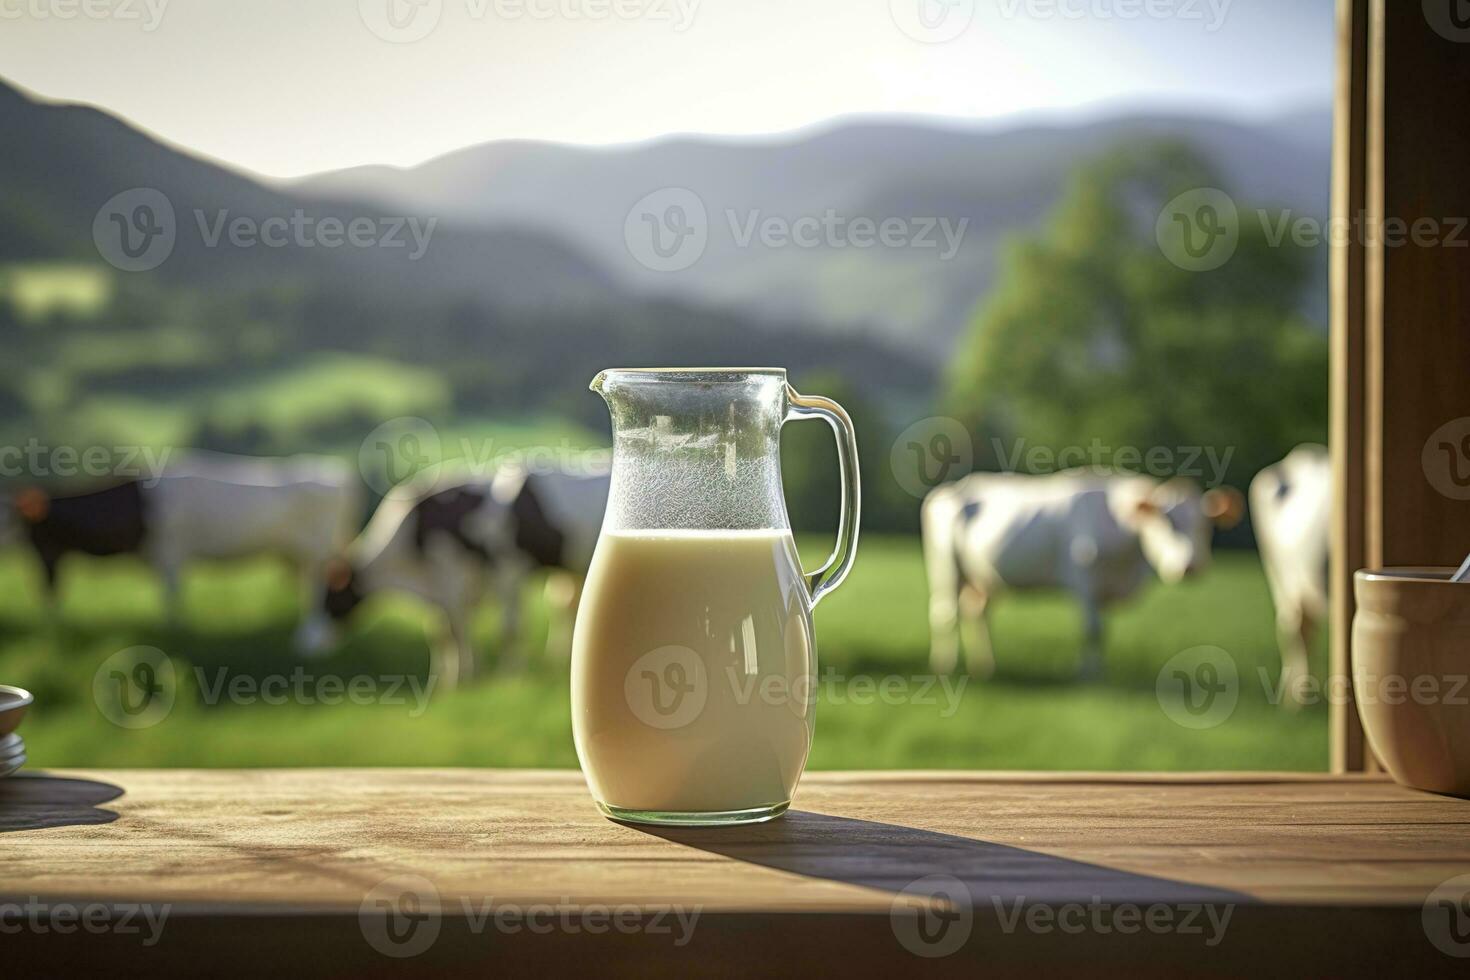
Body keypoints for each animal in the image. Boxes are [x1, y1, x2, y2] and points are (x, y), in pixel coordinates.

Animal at [917, 470, 1240, 678]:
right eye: (1167, 522)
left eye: (1205, 526)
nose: (1191, 567)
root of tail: (950, 487)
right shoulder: (1083, 581)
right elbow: (1092, 630)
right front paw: (1087, 677)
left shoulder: (1105, 589)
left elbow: (1103, 633)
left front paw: (1098, 671)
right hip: (945, 566)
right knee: (945, 613)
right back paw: (945, 667)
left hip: (984, 577)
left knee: (977, 612)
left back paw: (985, 667)